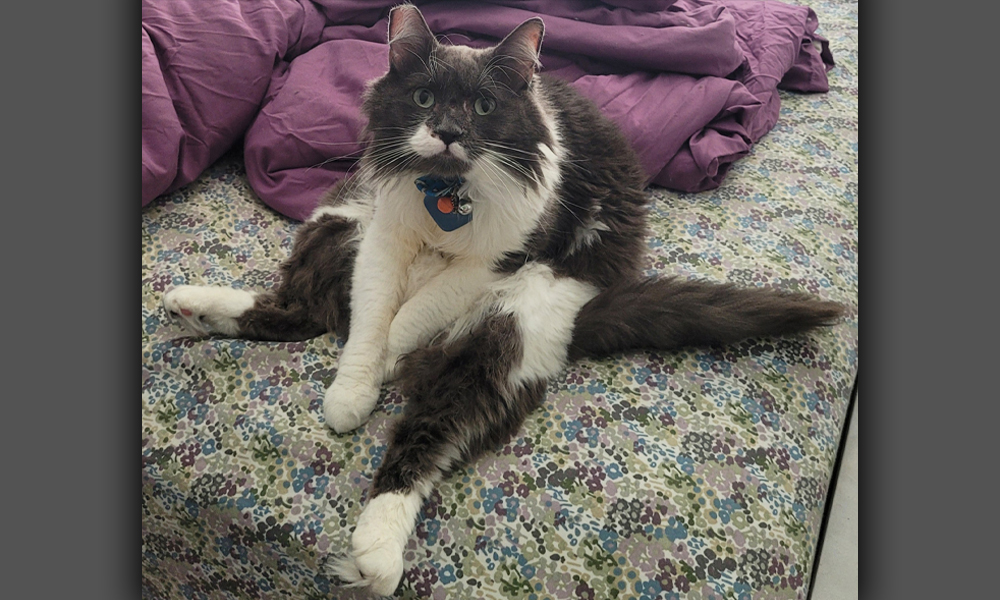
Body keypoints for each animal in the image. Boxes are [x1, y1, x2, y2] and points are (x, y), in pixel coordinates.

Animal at [164, 4, 844, 596]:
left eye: (484, 106)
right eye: (424, 99)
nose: (447, 132)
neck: (445, 195)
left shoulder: (498, 259)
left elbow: (408, 318)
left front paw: (385, 364)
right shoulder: (383, 236)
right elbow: (370, 322)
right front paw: (353, 392)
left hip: (505, 334)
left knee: (424, 436)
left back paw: (377, 552)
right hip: (336, 225)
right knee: (306, 309)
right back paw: (189, 303)